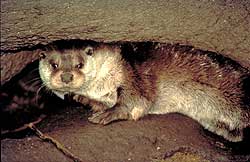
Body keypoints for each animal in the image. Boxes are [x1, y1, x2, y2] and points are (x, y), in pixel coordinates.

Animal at [39, 42, 250, 142]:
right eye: (54, 64)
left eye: (79, 64)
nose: (66, 76)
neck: (104, 84)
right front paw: (79, 98)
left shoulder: (132, 74)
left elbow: (135, 100)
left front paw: (109, 114)